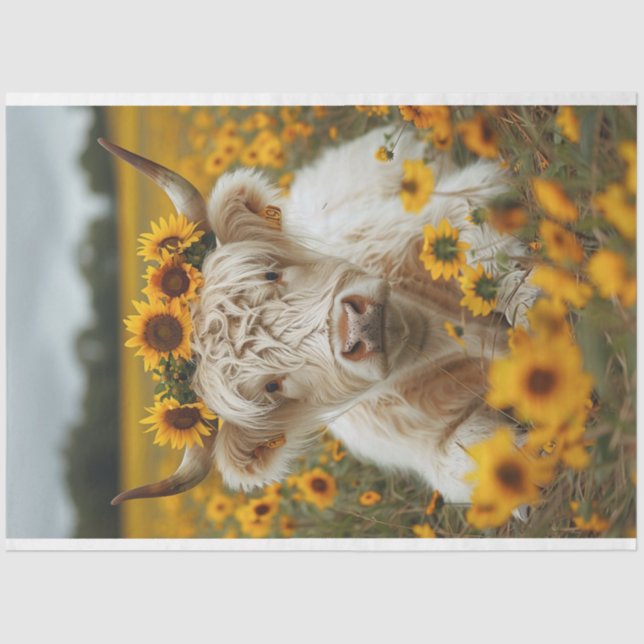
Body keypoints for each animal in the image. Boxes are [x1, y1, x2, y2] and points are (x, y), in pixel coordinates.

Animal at [101, 125, 537, 507]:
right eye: (272, 386)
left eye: (271, 274)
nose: (358, 327)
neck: (436, 332)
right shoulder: (431, 446)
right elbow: (467, 459)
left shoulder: (457, 206)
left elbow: (492, 256)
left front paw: (528, 300)